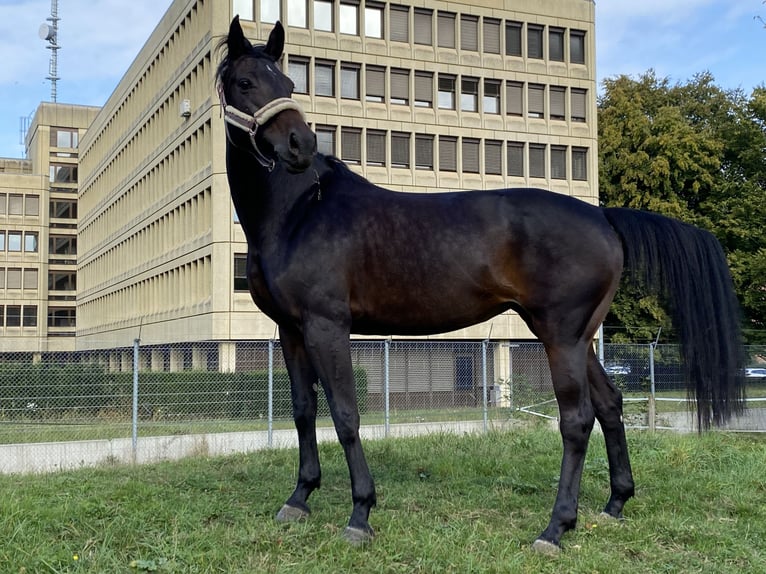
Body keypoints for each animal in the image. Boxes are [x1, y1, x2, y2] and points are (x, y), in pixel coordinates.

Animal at [215, 17, 745, 553]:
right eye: (246, 83)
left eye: (287, 84)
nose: (300, 146)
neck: (301, 212)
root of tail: (602, 216)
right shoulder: (291, 330)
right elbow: (303, 411)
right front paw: (299, 498)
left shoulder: (328, 326)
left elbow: (345, 415)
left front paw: (360, 513)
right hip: (576, 337)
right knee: (610, 405)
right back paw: (614, 503)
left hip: (561, 336)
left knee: (577, 420)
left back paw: (555, 528)